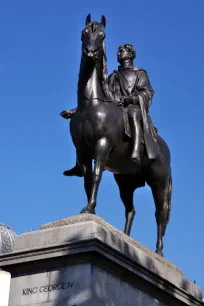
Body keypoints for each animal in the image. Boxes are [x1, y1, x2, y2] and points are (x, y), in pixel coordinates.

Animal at [63, 14, 171, 258]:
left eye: (102, 34)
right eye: (84, 32)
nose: (90, 52)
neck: (91, 104)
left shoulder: (102, 145)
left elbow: (96, 176)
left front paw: (89, 207)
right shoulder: (83, 151)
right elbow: (86, 179)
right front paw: (88, 211)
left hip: (159, 181)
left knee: (161, 214)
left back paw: (158, 251)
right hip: (125, 181)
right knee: (131, 209)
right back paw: (126, 238)